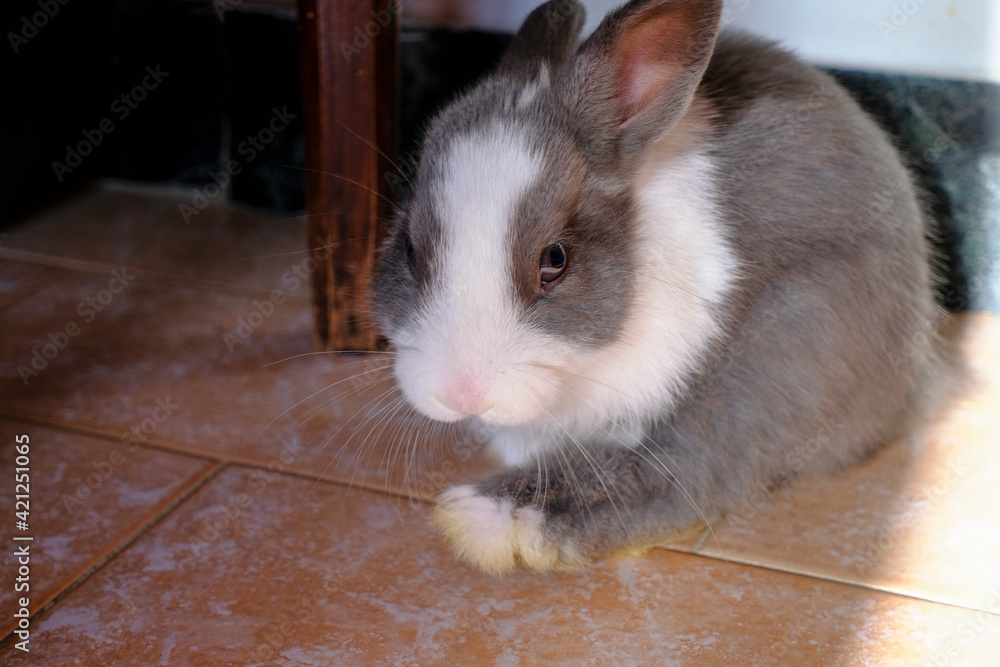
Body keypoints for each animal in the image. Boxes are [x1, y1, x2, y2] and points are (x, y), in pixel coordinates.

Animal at [369, 0, 947, 574]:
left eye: (555, 260)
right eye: (410, 248)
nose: (460, 393)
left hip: (785, 348)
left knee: (690, 471)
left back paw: (486, 517)